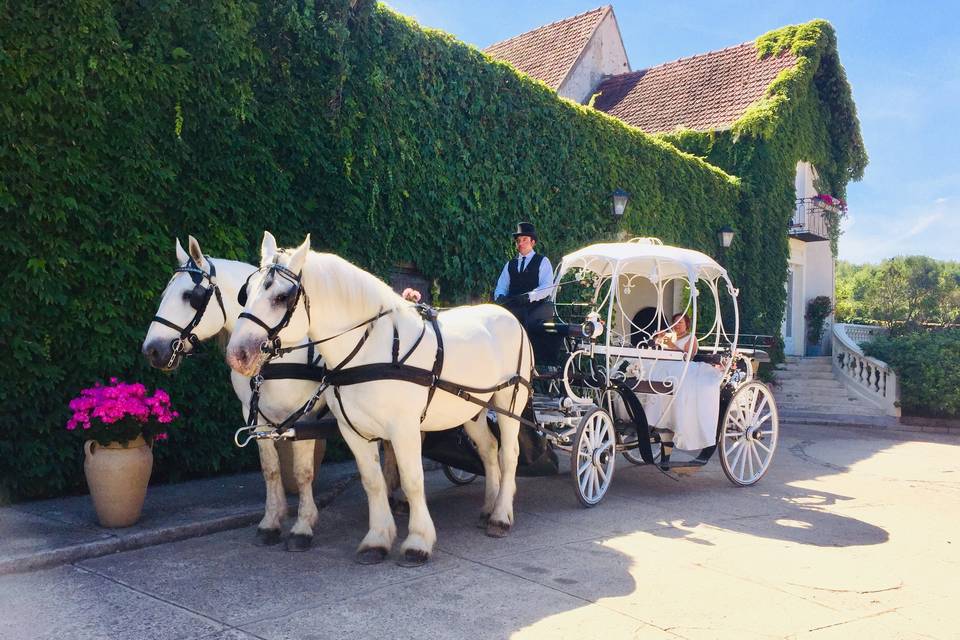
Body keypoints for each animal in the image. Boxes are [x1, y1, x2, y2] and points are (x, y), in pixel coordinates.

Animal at [142, 235, 328, 552]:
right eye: (165, 292)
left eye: (190, 296)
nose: (152, 350)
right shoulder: (256, 417)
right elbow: (270, 469)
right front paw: (271, 522)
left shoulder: (304, 416)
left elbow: (303, 473)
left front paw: (303, 527)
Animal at [226, 232, 532, 568]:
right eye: (245, 293)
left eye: (282, 297)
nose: (237, 355)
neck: (373, 348)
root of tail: (509, 317)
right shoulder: (353, 430)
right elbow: (373, 482)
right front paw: (377, 539)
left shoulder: (404, 430)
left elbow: (413, 480)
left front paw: (417, 542)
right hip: (474, 408)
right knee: (489, 451)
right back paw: (490, 507)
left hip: (509, 402)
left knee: (508, 454)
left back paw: (501, 516)